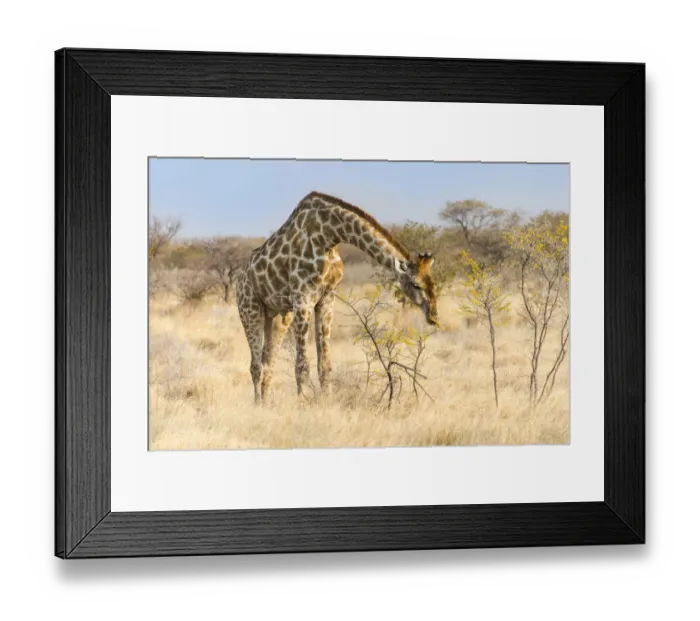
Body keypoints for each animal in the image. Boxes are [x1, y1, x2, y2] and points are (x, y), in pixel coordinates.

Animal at [236, 191, 439, 403]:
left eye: (433, 282)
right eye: (416, 284)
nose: (433, 315)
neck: (329, 236)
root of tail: (240, 279)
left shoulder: (326, 298)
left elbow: (324, 365)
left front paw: (326, 401)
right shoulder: (303, 298)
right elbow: (302, 365)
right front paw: (303, 403)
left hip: (278, 316)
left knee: (268, 361)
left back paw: (266, 403)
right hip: (250, 309)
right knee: (255, 365)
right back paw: (257, 405)